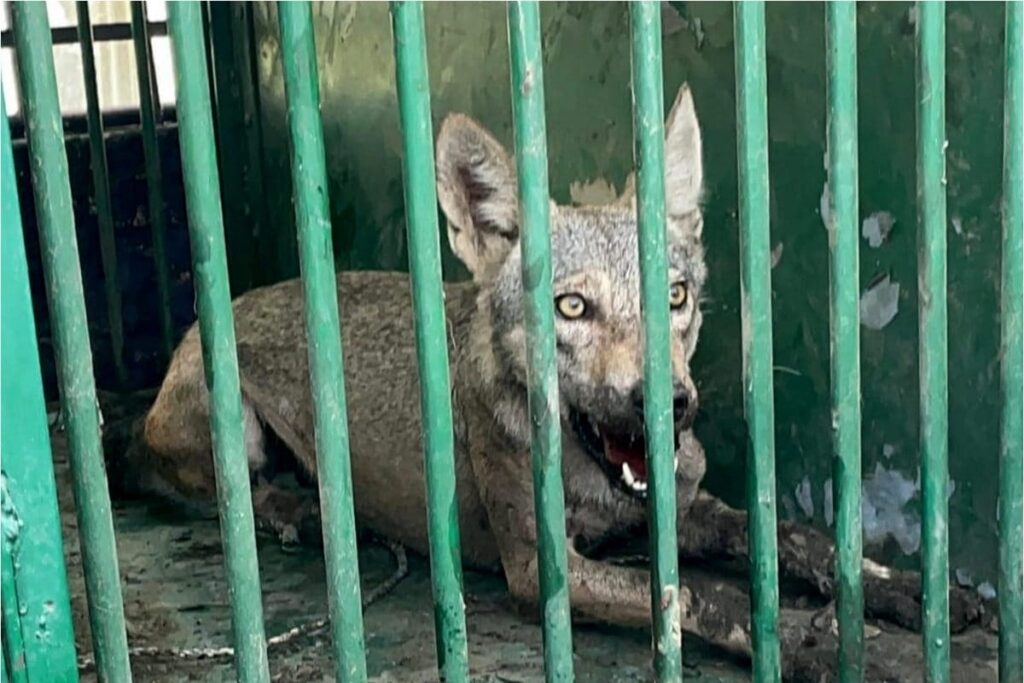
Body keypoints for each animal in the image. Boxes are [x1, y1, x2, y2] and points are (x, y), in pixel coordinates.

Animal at [123, 84, 980, 680]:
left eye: (676, 295)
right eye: (571, 306)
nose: (669, 404)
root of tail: (219, 308)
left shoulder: (686, 509)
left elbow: (794, 538)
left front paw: (906, 590)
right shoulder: (544, 570)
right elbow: (706, 596)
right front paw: (812, 643)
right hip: (229, 426)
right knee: (231, 492)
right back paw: (296, 507)